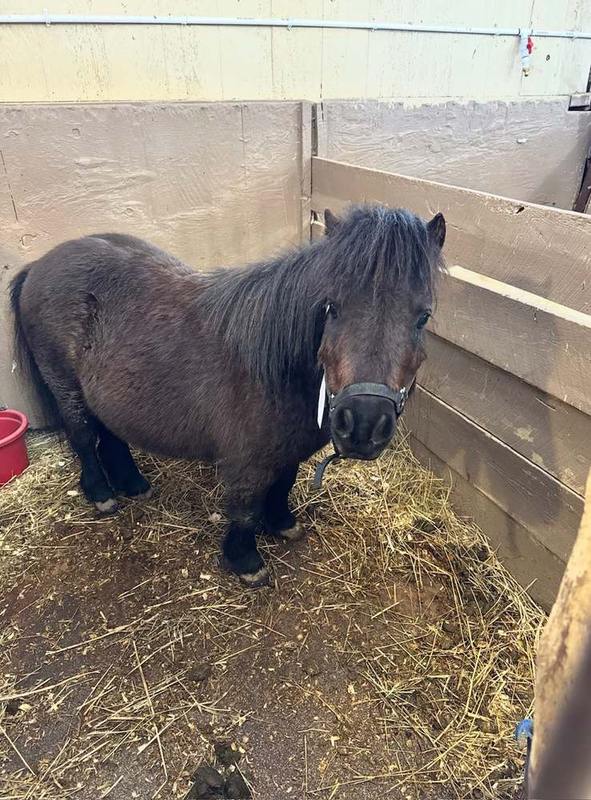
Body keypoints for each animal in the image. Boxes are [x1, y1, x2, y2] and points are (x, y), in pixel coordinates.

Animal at [10, 205, 445, 587]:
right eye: (331, 307)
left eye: (423, 317)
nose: (363, 425)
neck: (273, 365)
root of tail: (41, 264)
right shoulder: (245, 460)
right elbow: (245, 508)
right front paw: (246, 561)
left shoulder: (286, 449)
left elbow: (283, 484)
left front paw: (282, 524)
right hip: (66, 387)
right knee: (84, 437)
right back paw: (102, 494)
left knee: (111, 434)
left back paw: (132, 483)